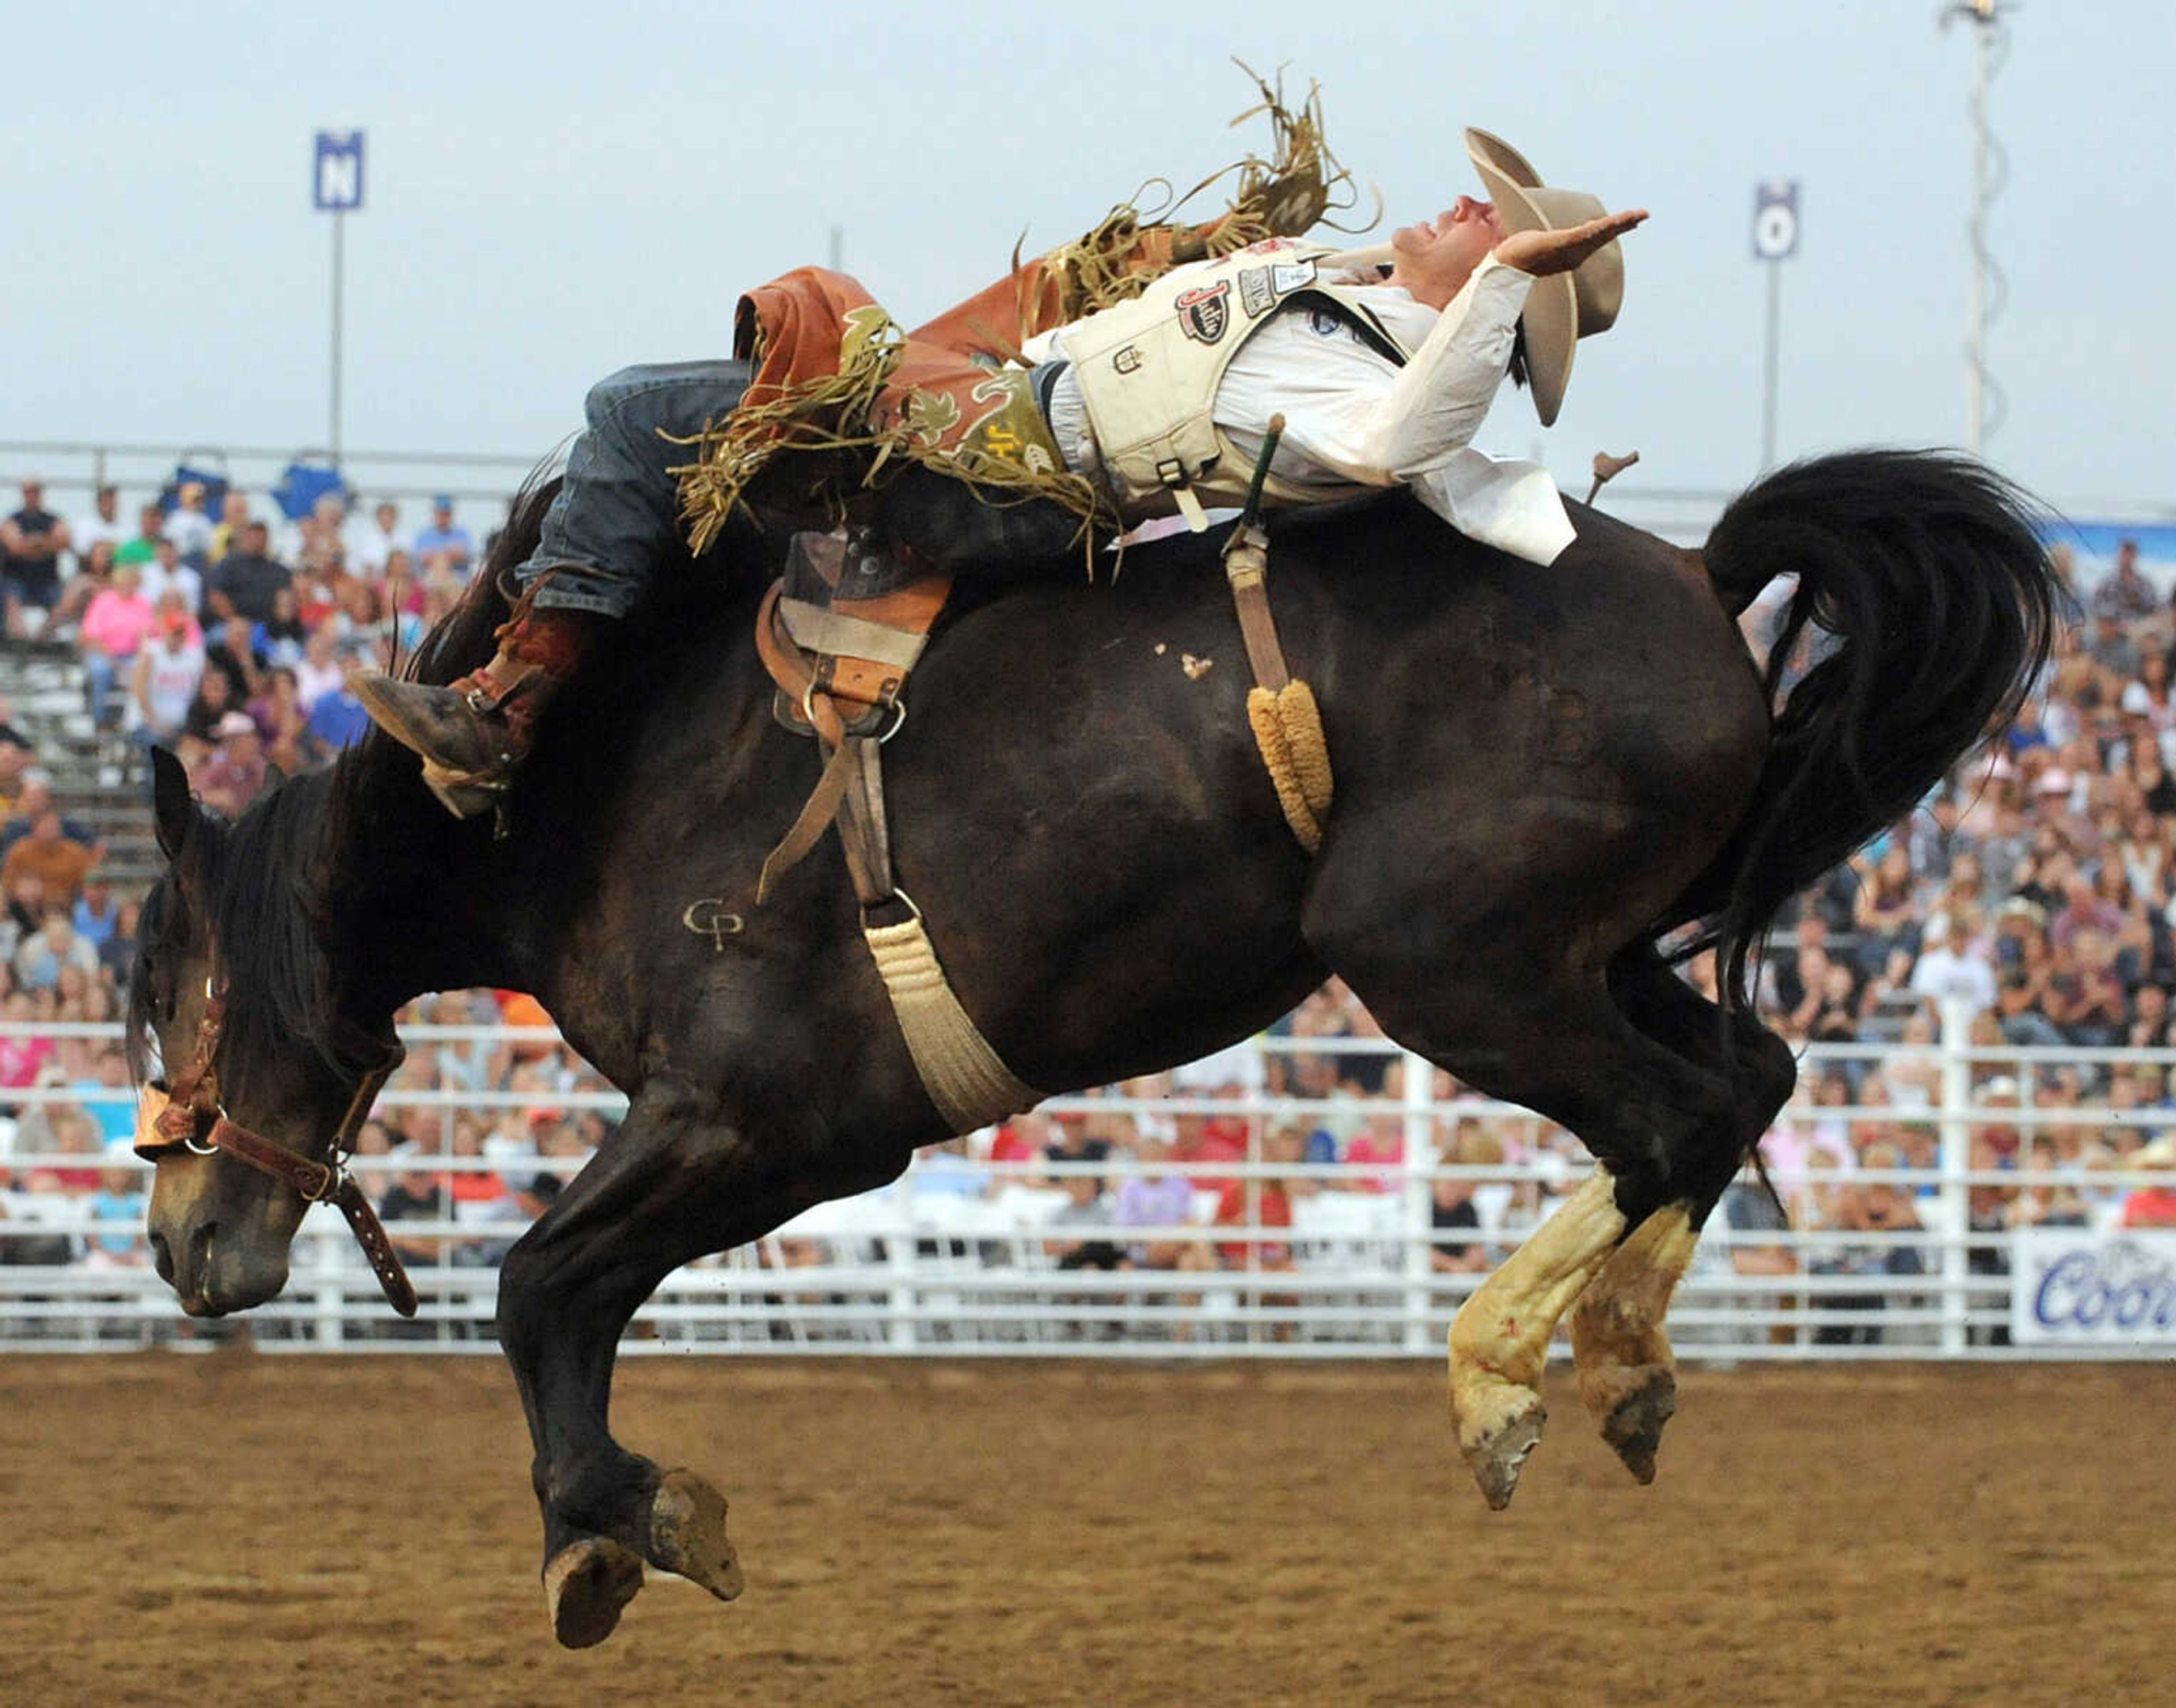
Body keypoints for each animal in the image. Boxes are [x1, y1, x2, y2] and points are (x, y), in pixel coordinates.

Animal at [131, 437, 2054, 1636]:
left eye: (163, 971)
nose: (176, 1235)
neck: (596, 776)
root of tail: (1704, 574)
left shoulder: (763, 1121)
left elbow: (539, 1283)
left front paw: (619, 1524)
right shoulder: (743, 1136)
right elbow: (566, 1293)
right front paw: (597, 1526)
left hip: (1446, 957)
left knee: (1669, 1113)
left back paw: (1503, 1374)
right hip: (1575, 949)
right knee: (1742, 1082)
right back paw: (1628, 1364)